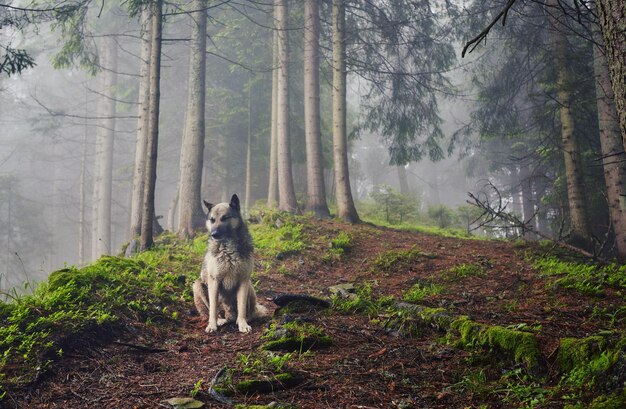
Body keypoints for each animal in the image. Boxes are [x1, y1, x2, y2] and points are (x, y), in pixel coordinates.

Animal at [193, 194, 266, 332]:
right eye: (212, 220)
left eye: (224, 218)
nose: (214, 234)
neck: (228, 249)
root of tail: (229, 315)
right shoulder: (214, 281)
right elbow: (213, 308)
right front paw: (212, 325)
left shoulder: (243, 280)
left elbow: (242, 307)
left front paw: (242, 324)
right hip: (198, 285)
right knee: (210, 310)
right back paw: (219, 320)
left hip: (250, 287)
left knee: (249, 310)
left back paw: (244, 319)